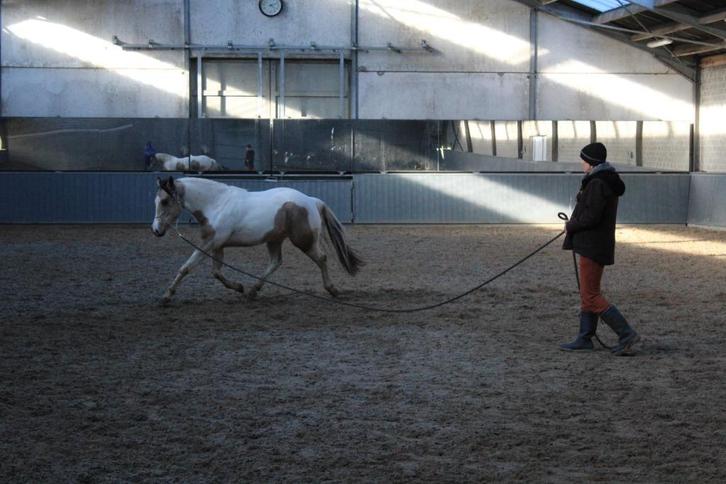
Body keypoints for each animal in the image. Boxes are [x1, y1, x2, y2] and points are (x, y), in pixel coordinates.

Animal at [151, 176, 363, 304]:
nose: (156, 230)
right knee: (275, 262)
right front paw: (238, 287)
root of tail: (312, 201)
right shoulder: (217, 245)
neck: (216, 204)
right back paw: (253, 291)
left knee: (321, 259)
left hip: (303, 242)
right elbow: (216, 272)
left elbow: (186, 267)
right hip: (274, 240)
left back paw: (332, 289)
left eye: (165, 201)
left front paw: (166, 296)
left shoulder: (210, 243)